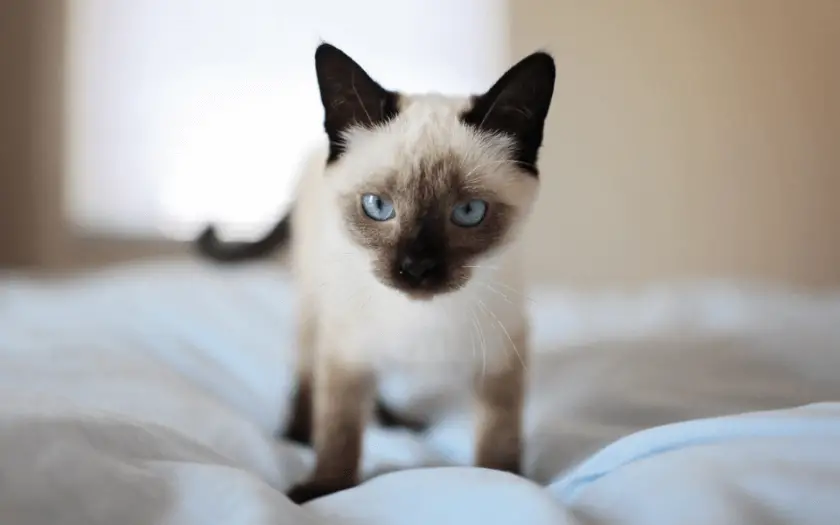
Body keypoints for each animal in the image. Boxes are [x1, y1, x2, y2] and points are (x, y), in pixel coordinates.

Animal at [194, 43, 556, 502]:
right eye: (378, 207)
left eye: (469, 213)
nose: (417, 268)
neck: (421, 319)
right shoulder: (346, 352)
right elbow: (340, 430)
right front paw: (324, 490)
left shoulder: (503, 354)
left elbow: (500, 433)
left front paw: (505, 480)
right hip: (315, 304)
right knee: (306, 370)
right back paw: (298, 433)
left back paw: (394, 421)